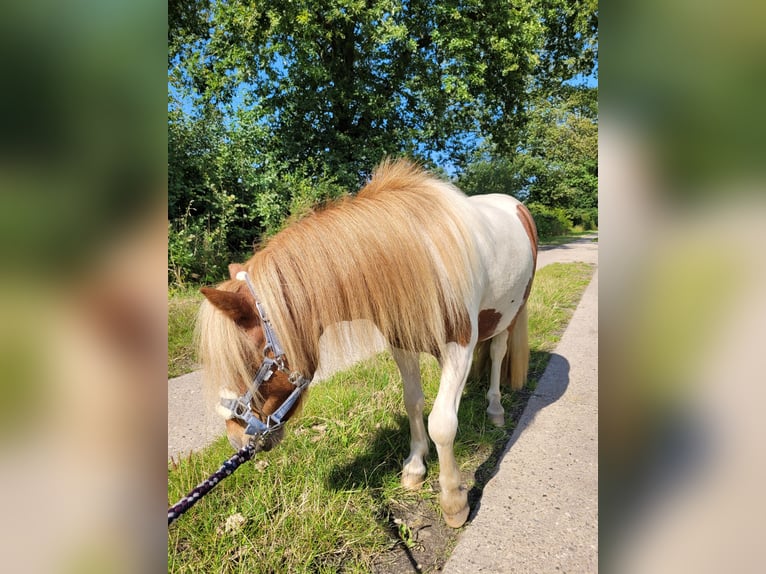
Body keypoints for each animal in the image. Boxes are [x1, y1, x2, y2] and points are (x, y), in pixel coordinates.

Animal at [195, 160, 536, 528]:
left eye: (247, 362)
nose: (236, 437)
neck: (422, 258)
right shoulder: (403, 345)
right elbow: (414, 403)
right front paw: (415, 467)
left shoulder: (458, 348)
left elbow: (443, 424)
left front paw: (453, 501)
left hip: (510, 316)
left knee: (498, 354)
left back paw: (495, 409)